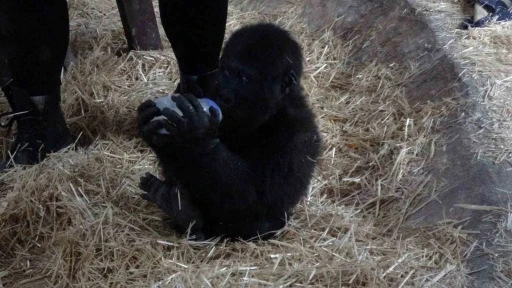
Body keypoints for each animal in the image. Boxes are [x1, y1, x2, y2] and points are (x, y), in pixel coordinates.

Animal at [136, 23, 320, 241]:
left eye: (243, 78)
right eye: (225, 72)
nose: (224, 93)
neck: (271, 110)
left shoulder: (298, 135)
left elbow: (257, 198)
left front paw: (198, 136)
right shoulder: (206, 87)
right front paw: (154, 131)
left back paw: (187, 215)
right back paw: (180, 209)